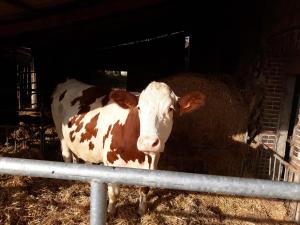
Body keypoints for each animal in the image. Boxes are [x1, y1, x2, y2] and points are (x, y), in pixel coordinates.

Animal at [51, 78, 206, 214]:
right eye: (139, 108)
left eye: (171, 109)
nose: (148, 142)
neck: (138, 154)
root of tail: (69, 81)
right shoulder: (111, 163)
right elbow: (114, 193)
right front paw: (111, 212)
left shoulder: (153, 161)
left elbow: (145, 188)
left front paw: (141, 211)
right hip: (60, 131)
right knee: (66, 155)